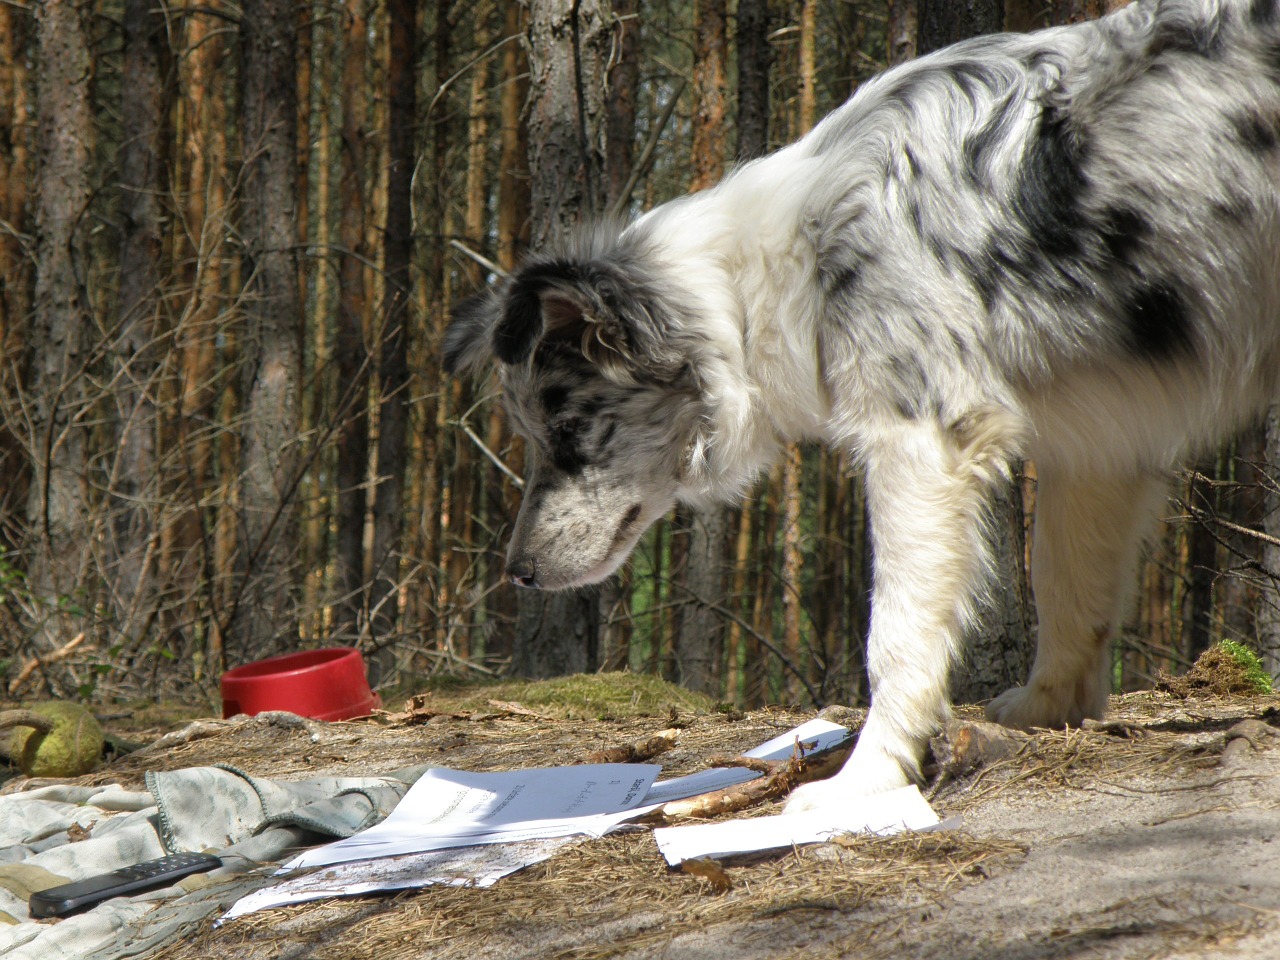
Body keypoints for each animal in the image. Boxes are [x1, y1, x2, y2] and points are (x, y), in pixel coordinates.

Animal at [445, 0, 1280, 814]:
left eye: (564, 433)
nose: (516, 573)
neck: (775, 268)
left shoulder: (921, 439)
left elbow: (896, 638)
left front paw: (866, 780)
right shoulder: (1097, 438)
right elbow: (1068, 586)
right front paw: (1048, 709)